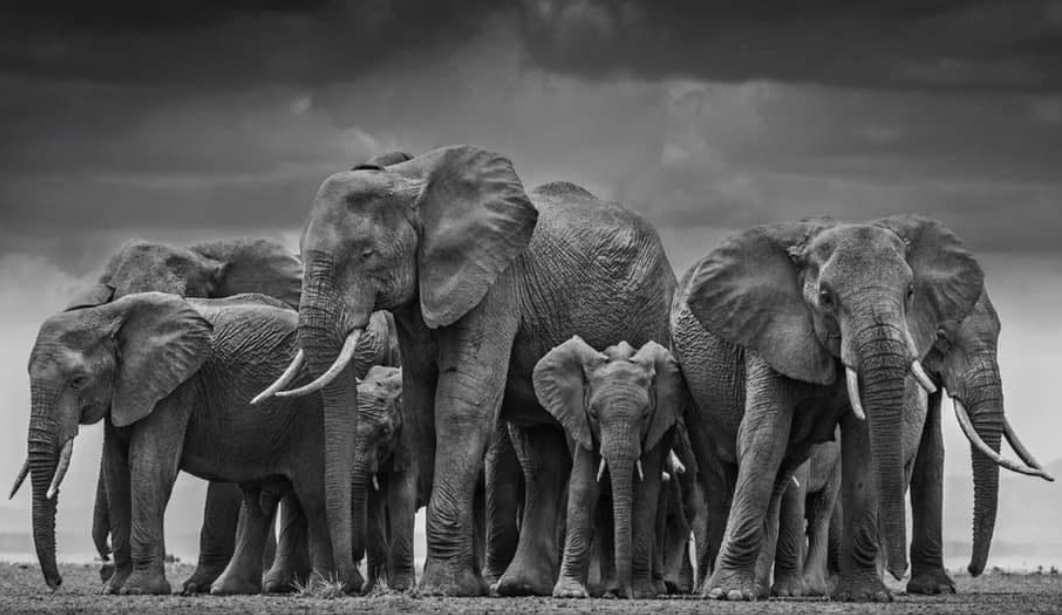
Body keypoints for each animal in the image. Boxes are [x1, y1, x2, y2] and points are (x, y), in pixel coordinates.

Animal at [21, 291, 368, 594]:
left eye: (77, 381)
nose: (57, 582)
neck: (108, 313)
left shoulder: (176, 388)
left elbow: (149, 467)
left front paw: (139, 590)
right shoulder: (126, 389)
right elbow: (115, 472)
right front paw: (114, 589)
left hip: (312, 411)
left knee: (312, 494)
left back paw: (326, 588)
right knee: (258, 499)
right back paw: (230, 590)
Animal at [532, 337, 683, 598]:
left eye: (645, 415)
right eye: (593, 413)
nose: (626, 592)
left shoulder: (656, 430)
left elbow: (645, 494)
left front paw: (642, 593)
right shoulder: (582, 425)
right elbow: (584, 490)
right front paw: (570, 593)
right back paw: (609, 588)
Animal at [671, 215, 986, 601]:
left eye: (910, 293)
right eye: (826, 298)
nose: (898, 571)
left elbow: (863, 446)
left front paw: (866, 596)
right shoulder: (768, 335)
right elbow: (763, 436)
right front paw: (729, 595)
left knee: (783, 472)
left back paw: (759, 587)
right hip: (694, 391)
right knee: (720, 476)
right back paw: (715, 587)